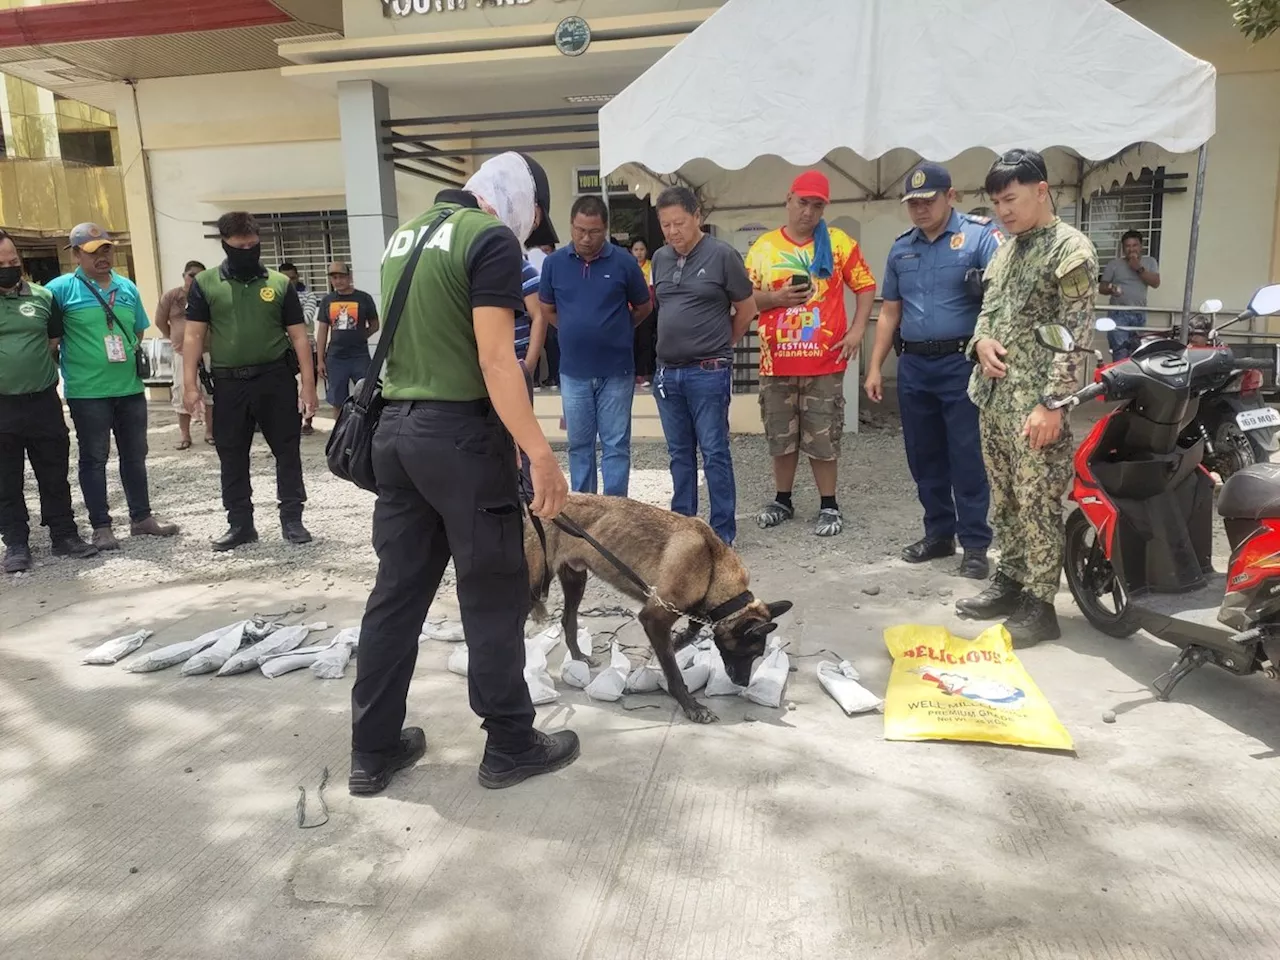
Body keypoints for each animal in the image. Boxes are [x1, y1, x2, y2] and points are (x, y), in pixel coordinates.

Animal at [527, 491, 788, 727]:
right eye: (751, 654)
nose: (743, 683)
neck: (712, 565)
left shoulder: (687, 610)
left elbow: (691, 629)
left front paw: (678, 642)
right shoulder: (654, 619)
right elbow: (672, 671)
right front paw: (691, 706)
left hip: (575, 580)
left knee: (568, 621)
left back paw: (579, 656)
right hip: (535, 586)